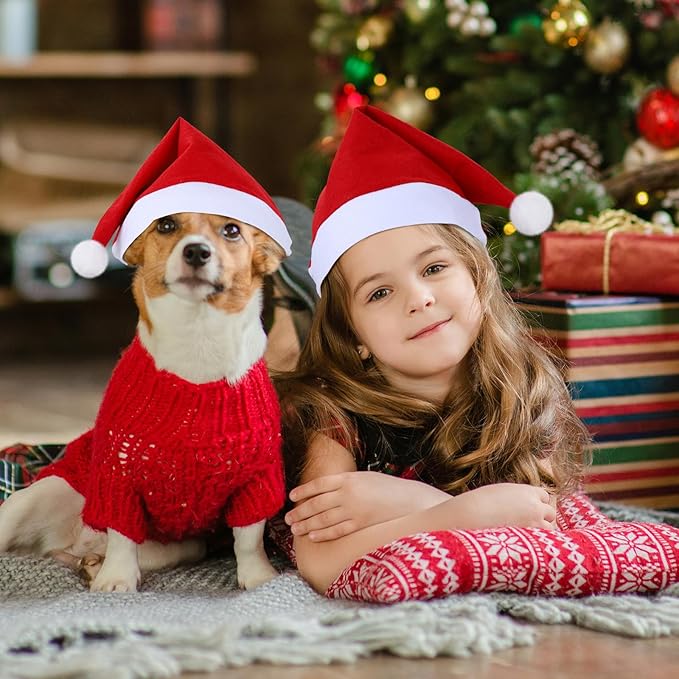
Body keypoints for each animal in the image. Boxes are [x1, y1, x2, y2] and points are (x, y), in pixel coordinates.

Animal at [0, 211, 286, 588]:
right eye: (166, 225)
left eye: (232, 230)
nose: (196, 252)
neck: (198, 341)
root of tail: (72, 541)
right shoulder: (118, 476)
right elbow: (123, 535)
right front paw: (116, 580)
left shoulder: (256, 480)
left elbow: (249, 539)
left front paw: (258, 577)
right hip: (37, 498)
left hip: (185, 545)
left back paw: (92, 564)